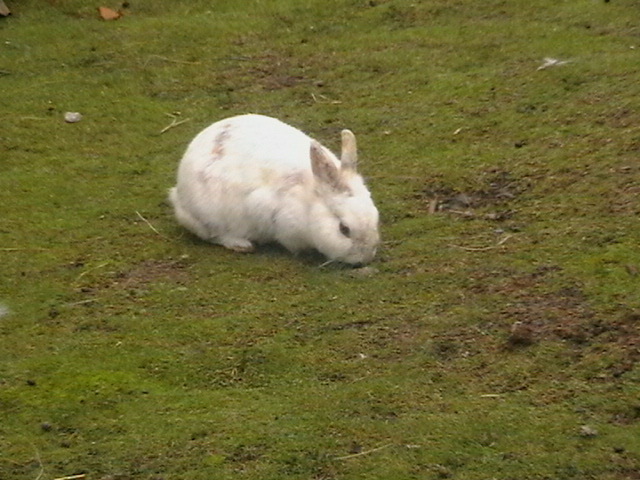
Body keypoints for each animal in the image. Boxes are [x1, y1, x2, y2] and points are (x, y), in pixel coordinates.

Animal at [169, 115, 380, 266]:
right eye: (344, 229)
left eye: (375, 216)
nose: (366, 258)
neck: (308, 200)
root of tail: (178, 194)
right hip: (208, 215)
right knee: (214, 235)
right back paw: (241, 245)